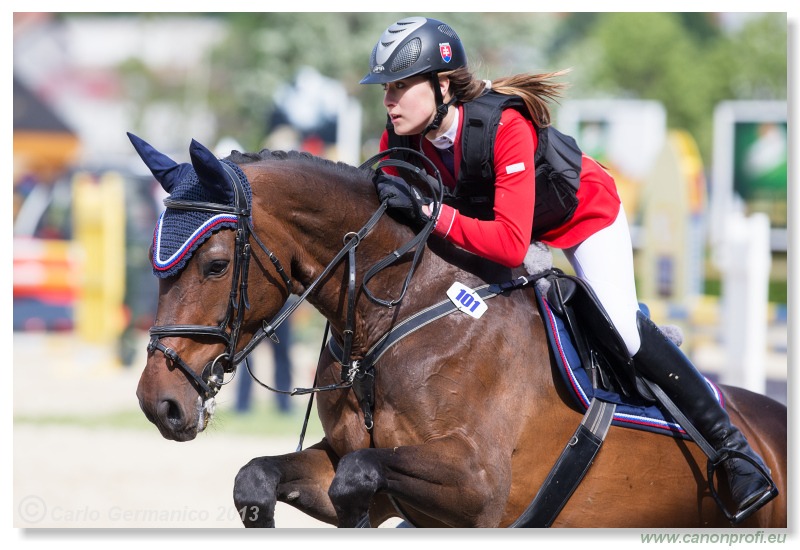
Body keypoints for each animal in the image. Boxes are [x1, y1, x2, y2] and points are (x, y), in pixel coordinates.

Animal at [131, 135, 788, 532]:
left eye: (216, 265)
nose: (158, 402)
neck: (396, 315)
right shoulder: (340, 458)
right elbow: (264, 475)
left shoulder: (478, 485)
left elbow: (359, 476)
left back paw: (745, 474)